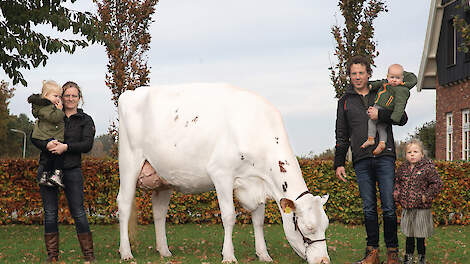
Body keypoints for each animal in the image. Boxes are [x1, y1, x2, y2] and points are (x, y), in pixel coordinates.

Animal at [117, 83, 330, 262]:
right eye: (308, 228)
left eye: (326, 226)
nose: (324, 261)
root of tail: (130, 93)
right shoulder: (221, 174)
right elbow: (229, 216)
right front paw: (228, 256)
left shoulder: (258, 181)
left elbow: (258, 221)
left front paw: (263, 254)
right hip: (129, 163)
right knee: (124, 205)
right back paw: (126, 252)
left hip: (162, 178)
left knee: (159, 212)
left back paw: (164, 251)